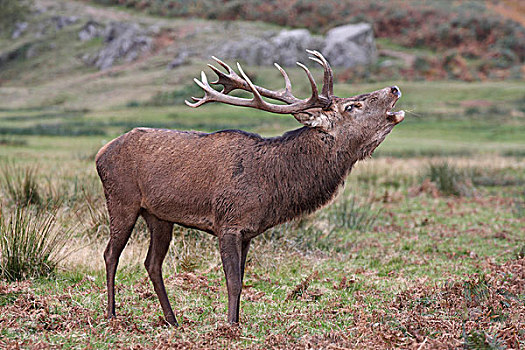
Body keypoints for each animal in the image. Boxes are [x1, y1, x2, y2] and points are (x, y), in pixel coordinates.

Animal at [96, 49, 404, 326]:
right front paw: (230, 326)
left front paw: (236, 320)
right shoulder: (228, 223)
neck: (269, 186)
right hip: (121, 199)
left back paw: (172, 320)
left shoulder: (248, 233)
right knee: (111, 253)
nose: (394, 88)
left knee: (152, 263)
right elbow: (232, 281)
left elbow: (242, 280)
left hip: (159, 216)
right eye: (351, 107)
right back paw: (112, 315)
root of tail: (100, 153)